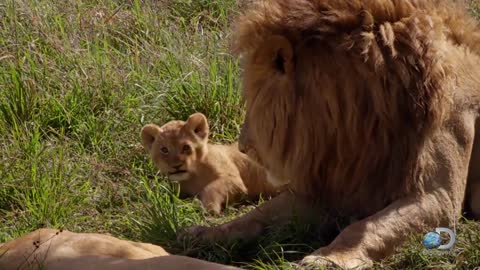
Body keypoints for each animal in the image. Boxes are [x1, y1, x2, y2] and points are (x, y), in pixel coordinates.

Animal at [183, 0, 480, 268]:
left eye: (254, 99)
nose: (243, 147)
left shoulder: (439, 197)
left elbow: (366, 227)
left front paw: (327, 259)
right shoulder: (335, 185)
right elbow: (258, 214)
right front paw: (206, 233)